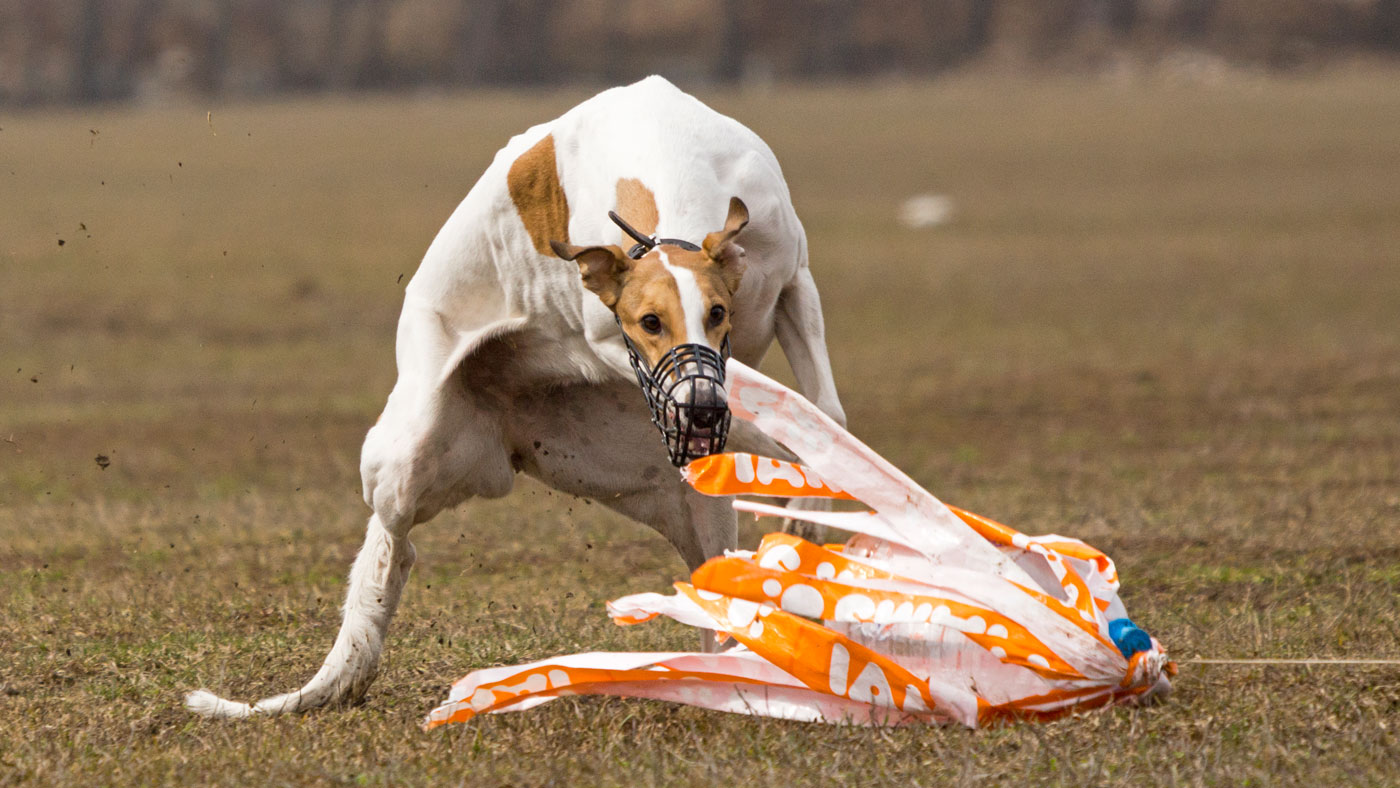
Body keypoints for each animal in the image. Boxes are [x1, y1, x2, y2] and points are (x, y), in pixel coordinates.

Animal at [183, 76, 840, 716]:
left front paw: (809, 502)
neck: (660, 160)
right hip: (407, 455)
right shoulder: (610, 344)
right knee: (396, 541)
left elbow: (824, 410)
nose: (701, 411)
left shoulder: (795, 284)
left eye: (719, 312)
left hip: (659, 490)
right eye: (648, 322)